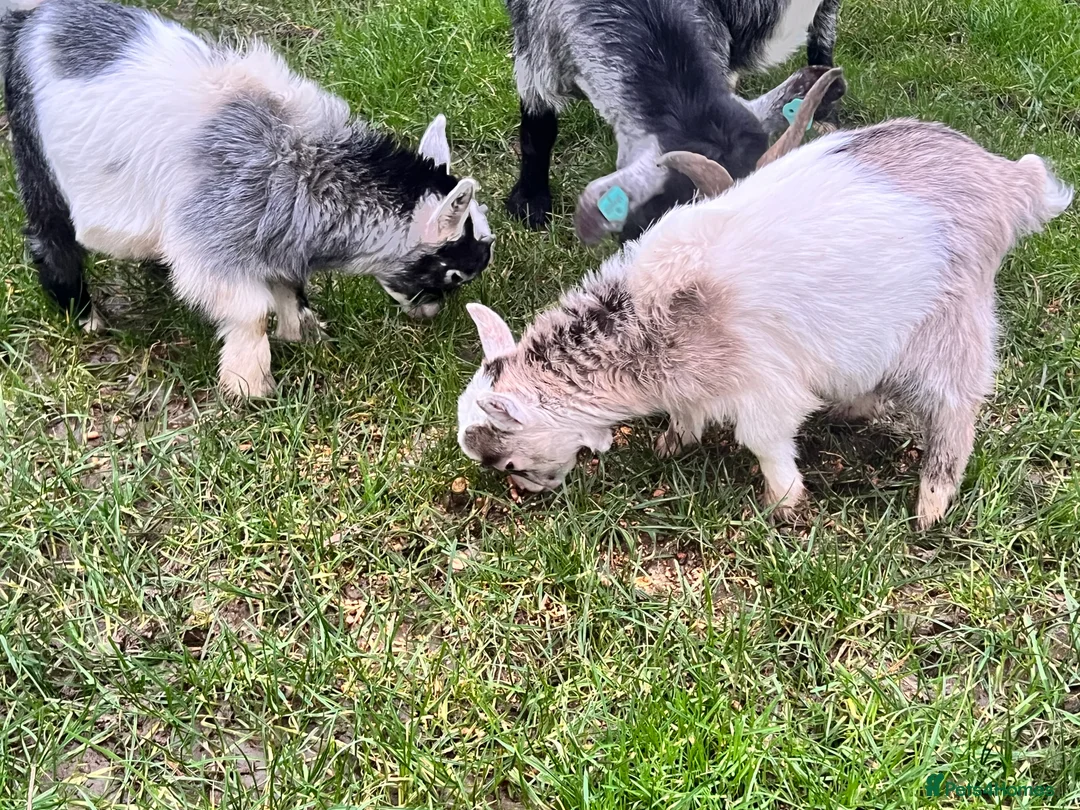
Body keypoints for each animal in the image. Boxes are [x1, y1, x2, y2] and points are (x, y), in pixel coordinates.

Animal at [1, 0, 493, 397]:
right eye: (451, 273)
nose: (430, 314)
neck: (299, 161)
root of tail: (37, 19)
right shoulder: (211, 245)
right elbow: (251, 313)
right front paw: (250, 387)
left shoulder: (278, 238)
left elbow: (290, 287)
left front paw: (306, 335)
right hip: (36, 154)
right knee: (50, 233)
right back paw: (83, 315)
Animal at [458, 103, 1072, 529]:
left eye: (506, 464)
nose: (533, 492)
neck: (653, 323)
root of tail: (1006, 180)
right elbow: (686, 414)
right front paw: (673, 442)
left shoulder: (764, 389)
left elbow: (764, 442)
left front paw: (784, 502)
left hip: (953, 326)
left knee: (953, 410)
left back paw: (931, 506)